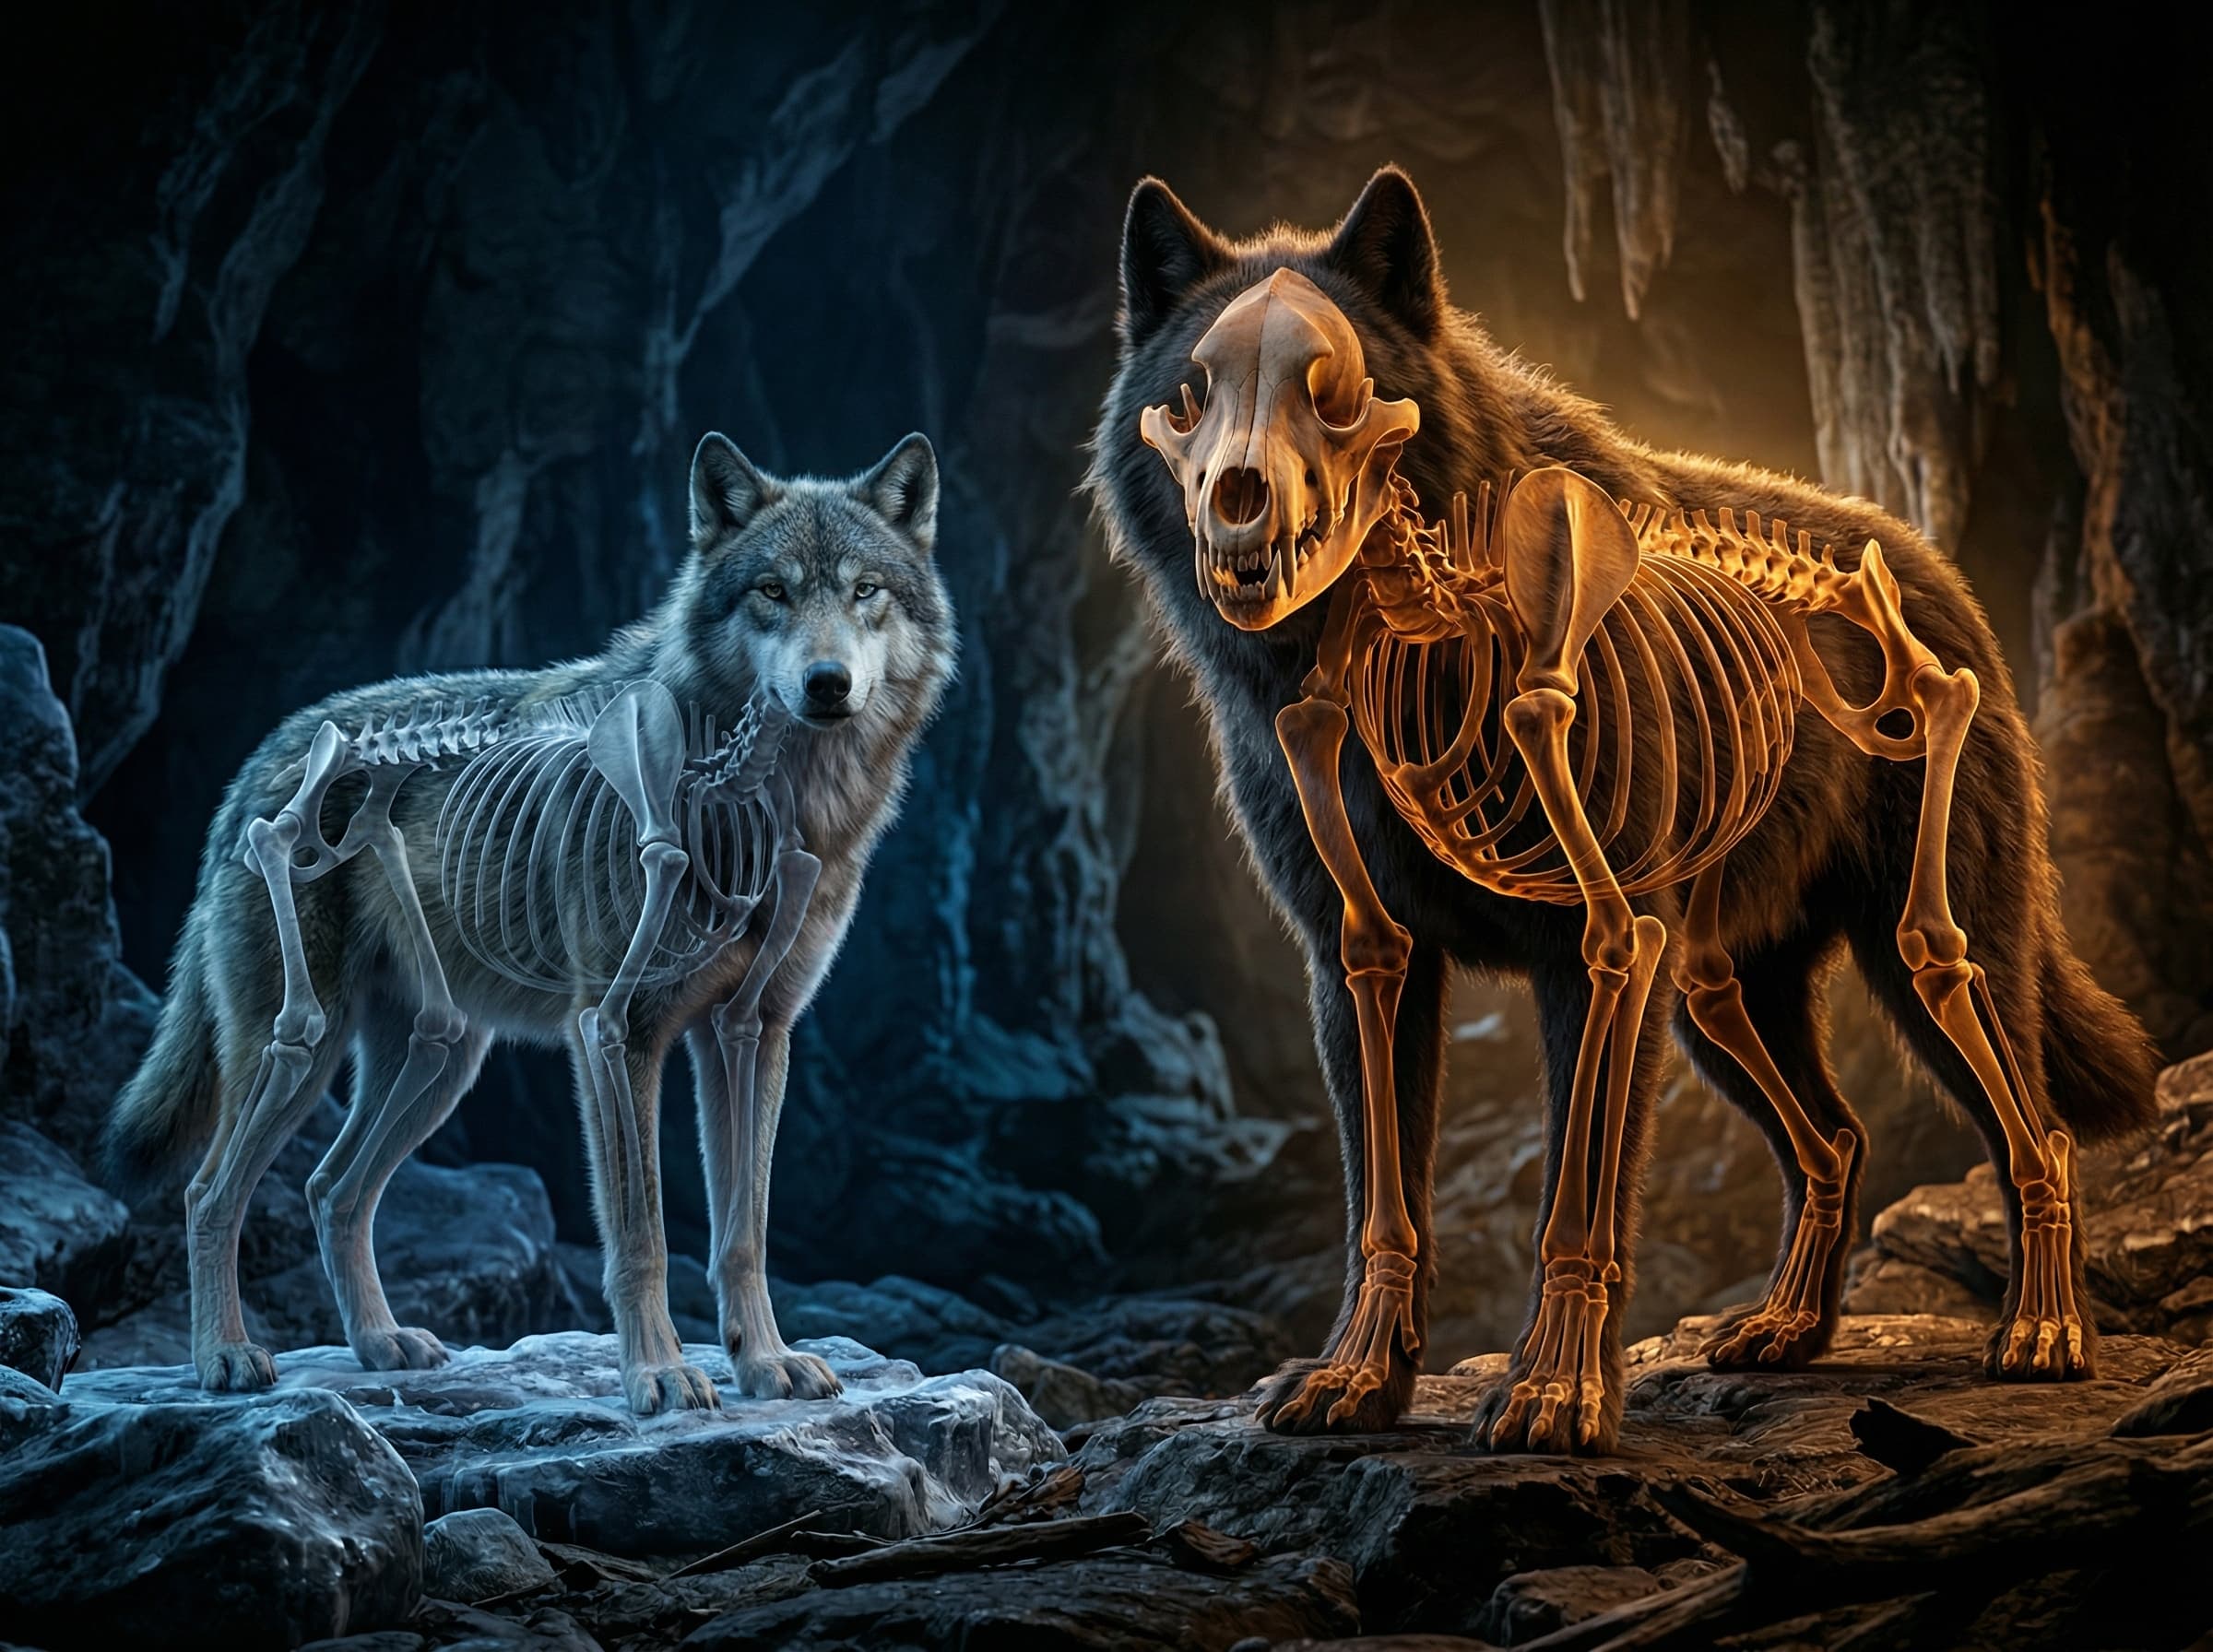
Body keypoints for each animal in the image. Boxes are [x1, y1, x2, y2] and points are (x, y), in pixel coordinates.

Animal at [107, 431, 955, 1415]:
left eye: (866, 591)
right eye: (773, 592)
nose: (827, 684)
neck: (778, 809)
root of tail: (266, 754)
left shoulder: (754, 1029)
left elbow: (745, 1232)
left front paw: (765, 1364)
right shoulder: (616, 1031)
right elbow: (642, 1230)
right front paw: (659, 1375)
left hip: (442, 1059)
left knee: (331, 1188)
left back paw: (380, 1344)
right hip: (304, 1042)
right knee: (211, 1194)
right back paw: (225, 1356)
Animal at [1086, 166, 2157, 1452]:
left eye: (1331, 391)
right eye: (1189, 394)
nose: (1240, 501)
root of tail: (1936, 570)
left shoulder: (1600, 938)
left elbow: (1579, 1189)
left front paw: (1556, 1395)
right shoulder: (1361, 947)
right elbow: (1380, 1195)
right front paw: (1357, 1378)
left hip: (1927, 939)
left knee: (2029, 1115)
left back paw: (2042, 1334)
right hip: (1720, 990)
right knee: (1835, 1134)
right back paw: (1785, 1331)